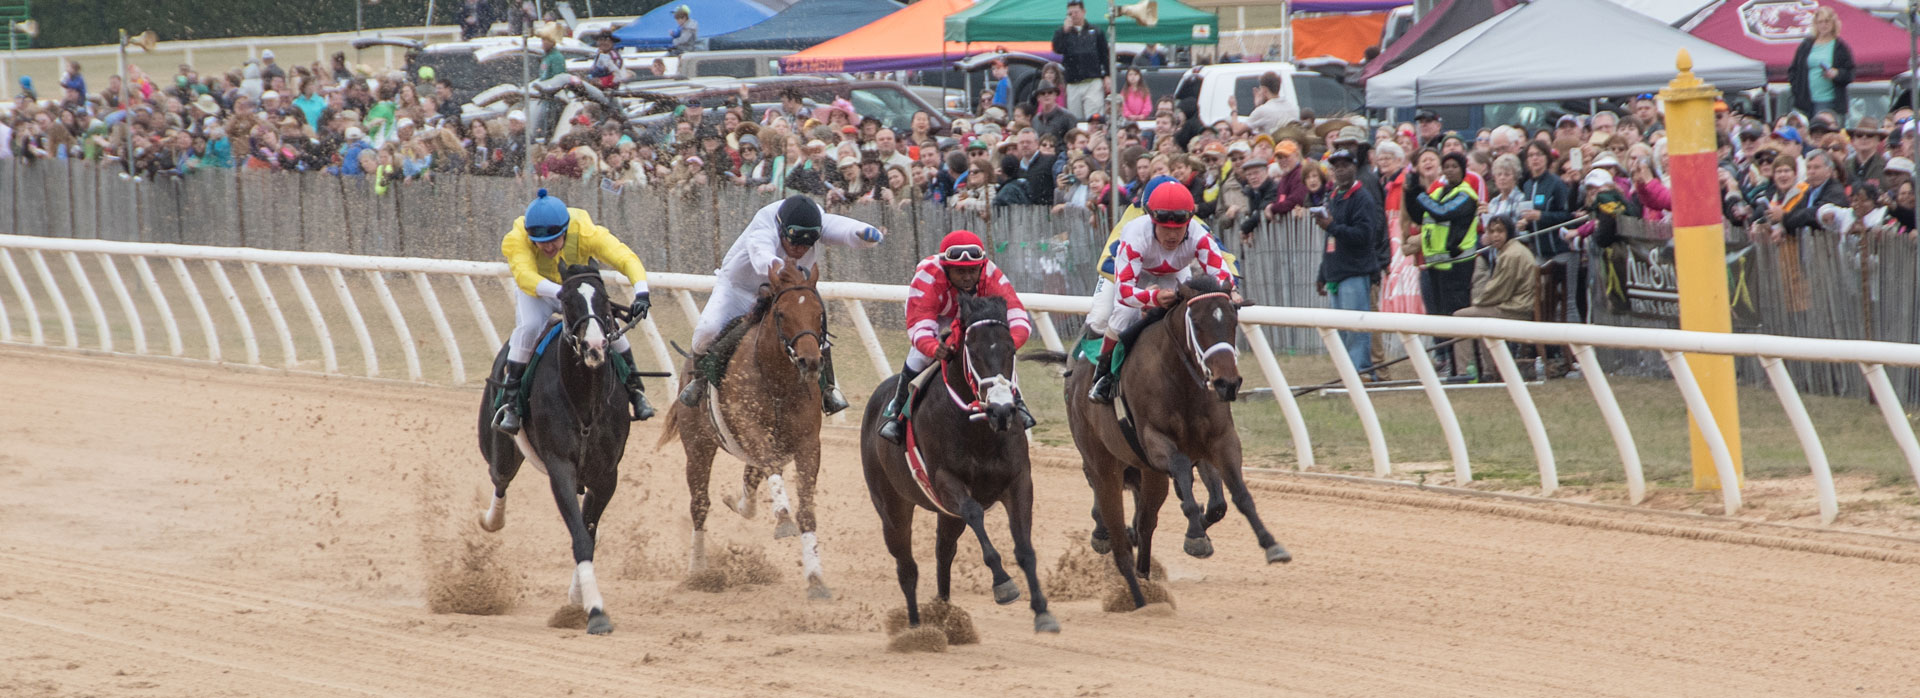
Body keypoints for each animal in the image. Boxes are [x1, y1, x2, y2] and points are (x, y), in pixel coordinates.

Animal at [478, 264, 637, 636]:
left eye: (605, 300)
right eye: (566, 301)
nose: (594, 346)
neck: (585, 400)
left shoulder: (606, 474)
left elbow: (588, 531)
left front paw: (578, 600)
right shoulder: (560, 467)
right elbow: (580, 535)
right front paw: (595, 610)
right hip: (500, 448)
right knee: (500, 479)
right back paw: (491, 519)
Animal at [656, 260, 837, 598]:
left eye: (819, 313)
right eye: (782, 314)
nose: (810, 361)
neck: (777, 383)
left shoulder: (808, 444)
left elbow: (806, 510)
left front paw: (816, 579)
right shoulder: (751, 429)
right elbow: (771, 471)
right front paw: (782, 518)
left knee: (750, 478)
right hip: (698, 447)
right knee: (700, 505)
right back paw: (698, 571)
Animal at [860, 297, 1059, 636]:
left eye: (1011, 349)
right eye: (973, 351)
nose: (1001, 409)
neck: (980, 430)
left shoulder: (1019, 481)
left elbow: (1024, 547)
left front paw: (1042, 611)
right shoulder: (946, 482)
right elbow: (975, 513)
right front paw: (1003, 583)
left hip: (944, 515)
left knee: (943, 553)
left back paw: (943, 615)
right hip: (891, 506)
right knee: (906, 566)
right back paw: (916, 628)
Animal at [1036, 276, 1290, 609]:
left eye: (1233, 320)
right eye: (1197, 323)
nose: (1227, 383)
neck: (1182, 382)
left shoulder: (1221, 441)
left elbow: (1233, 497)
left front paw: (1270, 543)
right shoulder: (1155, 442)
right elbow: (1182, 472)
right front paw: (1195, 535)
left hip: (1148, 472)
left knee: (1147, 520)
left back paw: (1143, 572)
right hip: (1100, 454)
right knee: (1102, 487)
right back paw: (1110, 542)